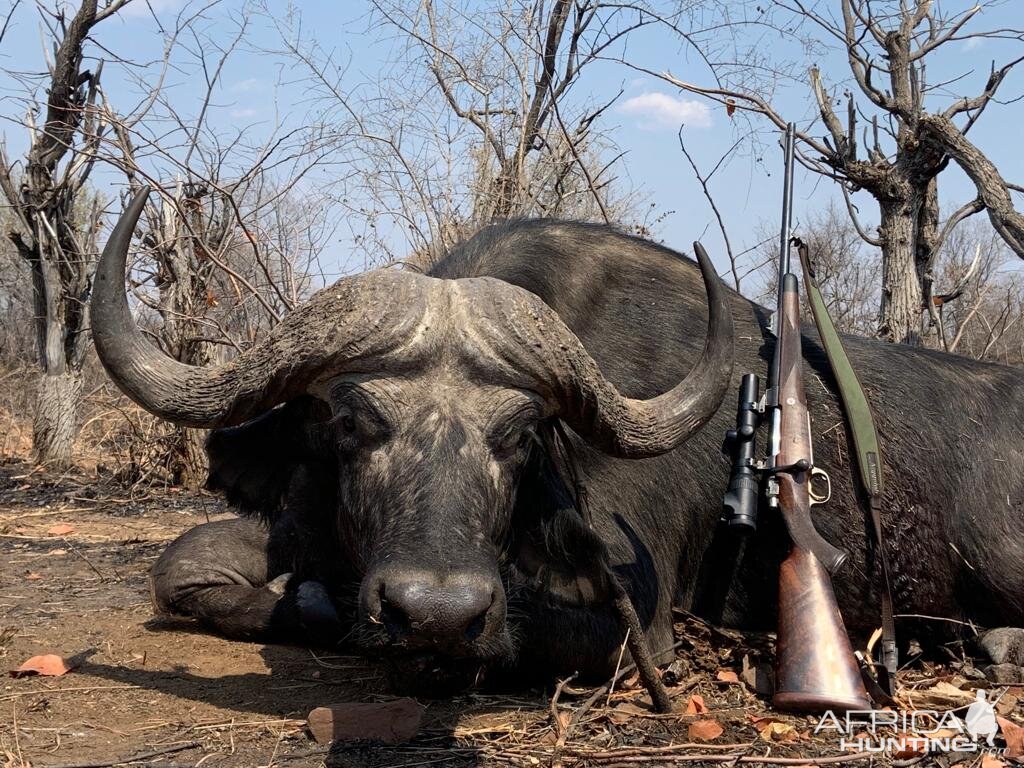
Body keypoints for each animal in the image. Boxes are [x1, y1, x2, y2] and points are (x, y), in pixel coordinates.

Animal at [92, 191, 1019, 692]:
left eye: (517, 434)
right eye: (353, 423)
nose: (434, 612)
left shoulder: (640, 624)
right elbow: (181, 563)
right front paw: (308, 597)